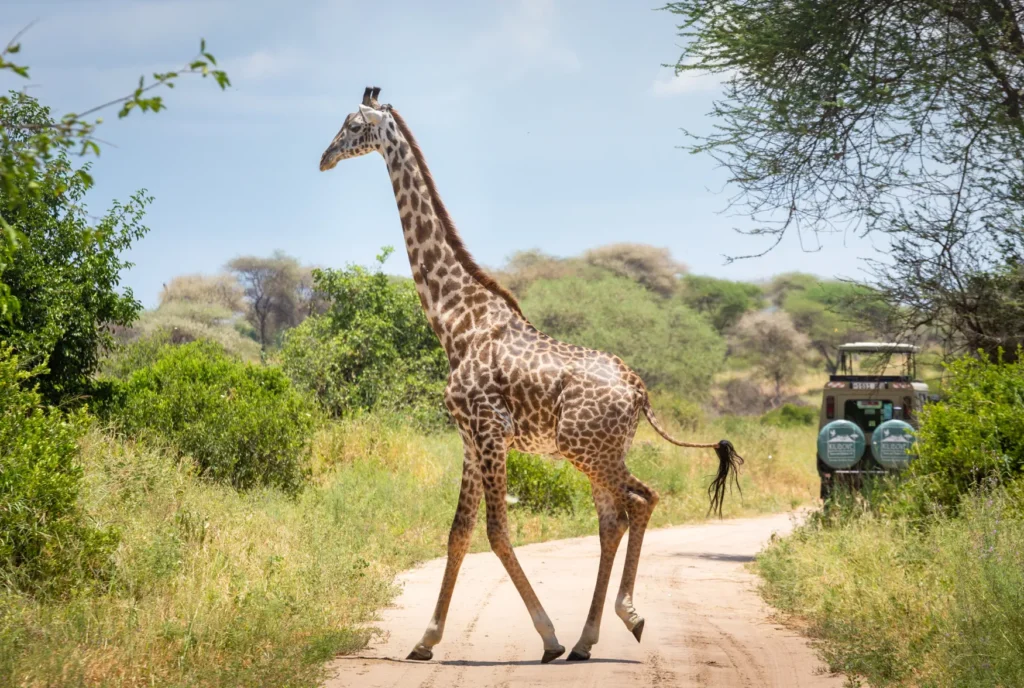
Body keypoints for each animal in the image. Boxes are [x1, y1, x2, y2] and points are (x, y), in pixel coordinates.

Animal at [319, 87, 743, 664]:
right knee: (615, 517)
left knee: (639, 501)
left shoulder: (489, 430)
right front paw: (425, 640)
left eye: (353, 125)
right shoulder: (470, 438)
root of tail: (639, 391)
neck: (456, 320)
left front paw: (547, 637)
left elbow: (496, 531)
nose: (325, 157)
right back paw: (589, 639)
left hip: (584, 448)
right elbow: (458, 532)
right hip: (600, 450)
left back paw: (623, 619)